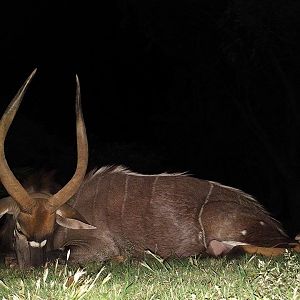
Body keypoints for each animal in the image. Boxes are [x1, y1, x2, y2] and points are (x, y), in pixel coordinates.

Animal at [0, 69, 300, 268]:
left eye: (48, 231)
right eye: (19, 230)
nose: (34, 268)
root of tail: (270, 221)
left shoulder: (98, 245)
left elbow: (66, 255)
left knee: (286, 246)